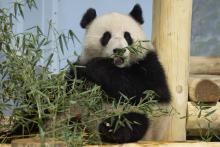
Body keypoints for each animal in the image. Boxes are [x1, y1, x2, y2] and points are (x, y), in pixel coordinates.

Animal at [66, 4, 170, 144]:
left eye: (127, 36)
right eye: (106, 36)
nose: (119, 50)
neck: (119, 67)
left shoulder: (150, 64)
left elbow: (145, 90)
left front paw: (97, 66)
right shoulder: (78, 70)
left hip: (146, 117)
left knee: (133, 121)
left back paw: (112, 131)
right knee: (71, 121)